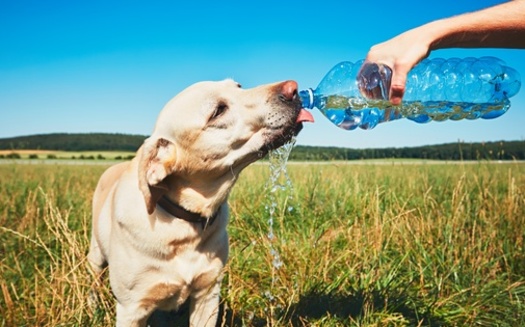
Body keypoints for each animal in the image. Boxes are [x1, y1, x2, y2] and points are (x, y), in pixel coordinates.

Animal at [88, 78, 314, 326]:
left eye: (238, 86)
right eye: (218, 111)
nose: (293, 88)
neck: (183, 224)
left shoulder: (208, 294)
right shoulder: (132, 309)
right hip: (95, 255)